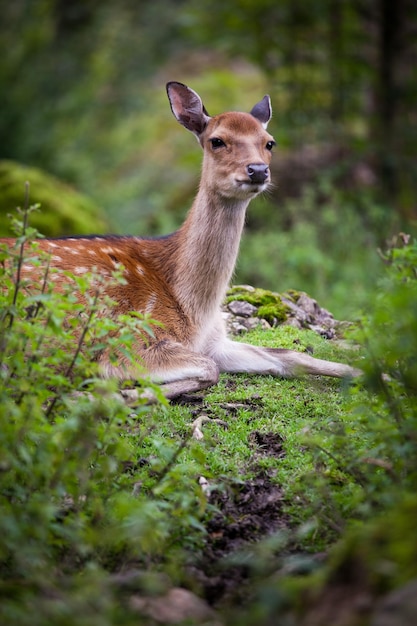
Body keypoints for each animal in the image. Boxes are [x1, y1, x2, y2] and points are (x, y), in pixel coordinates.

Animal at [0, 81, 358, 400]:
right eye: (217, 140)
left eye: (270, 142)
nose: (257, 170)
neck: (195, 309)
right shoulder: (126, 342)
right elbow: (209, 369)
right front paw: (111, 395)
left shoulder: (216, 341)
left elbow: (292, 355)